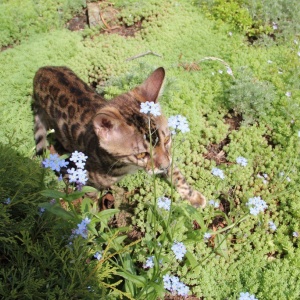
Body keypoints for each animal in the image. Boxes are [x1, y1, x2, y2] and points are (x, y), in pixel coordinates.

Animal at [32, 65, 206, 207]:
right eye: (141, 154)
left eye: (167, 140)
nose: (163, 166)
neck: (127, 167)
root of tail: (42, 70)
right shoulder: (88, 180)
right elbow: (90, 201)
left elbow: (175, 173)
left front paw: (193, 196)